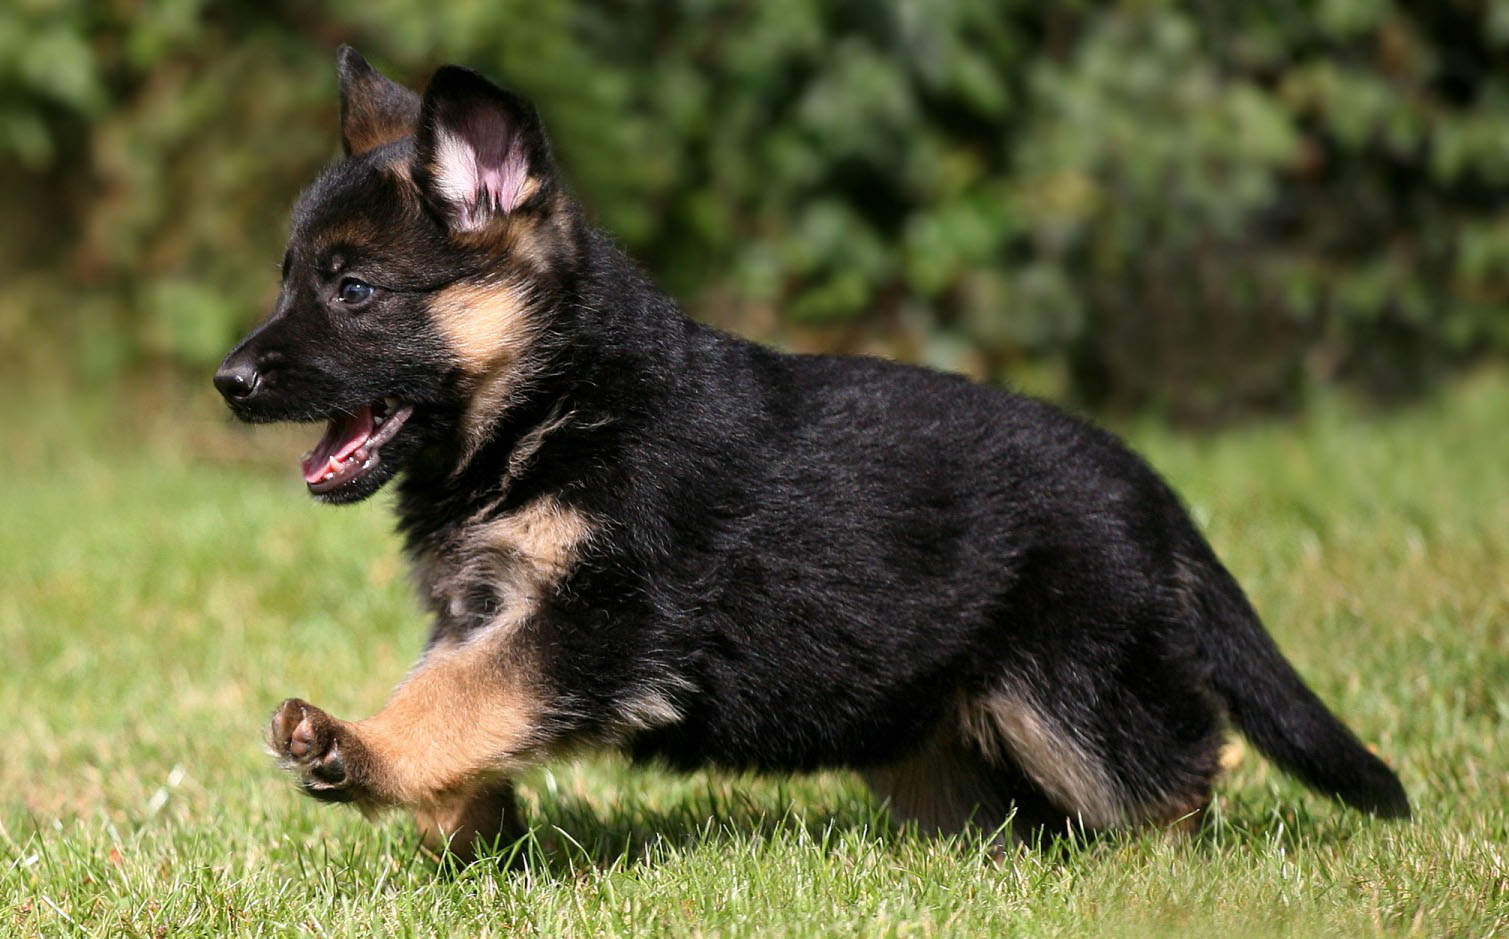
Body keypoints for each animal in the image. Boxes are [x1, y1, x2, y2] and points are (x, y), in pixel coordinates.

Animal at [218, 49, 1406, 863]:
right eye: (290, 278)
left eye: (352, 288)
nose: (228, 382)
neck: (558, 405)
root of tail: (1150, 490)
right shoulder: (487, 611)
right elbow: (458, 696)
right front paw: (458, 827)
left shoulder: (599, 619)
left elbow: (461, 700)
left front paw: (360, 751)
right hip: (931, 732)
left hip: (1075, 695)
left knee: (1178, 769)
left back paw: (1167, 874)